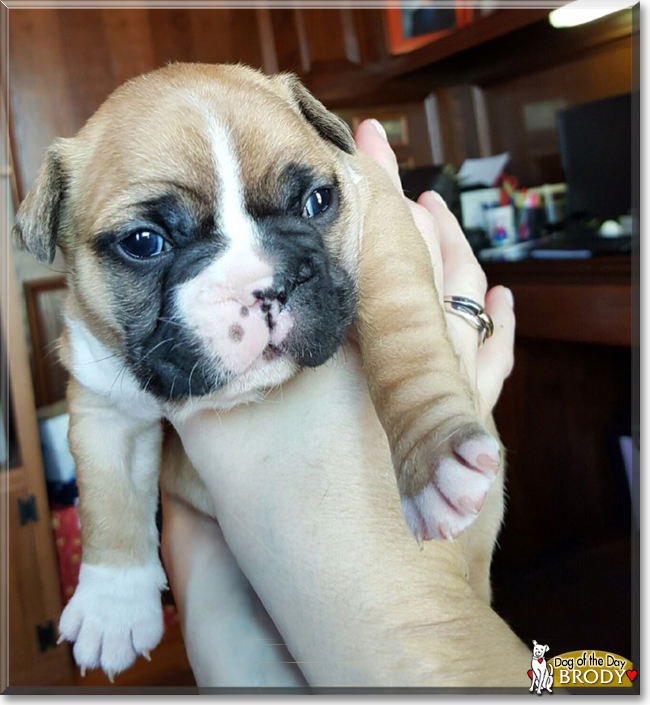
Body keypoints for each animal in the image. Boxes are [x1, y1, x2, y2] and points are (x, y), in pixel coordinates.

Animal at [12, 62, 524, 680]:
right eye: (144, 242)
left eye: (316, 202)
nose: (270, 284)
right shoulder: (102, 400)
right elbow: (107, 496)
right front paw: (112, 609)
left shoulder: (378, 212)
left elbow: (403, 335)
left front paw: (433, 456)